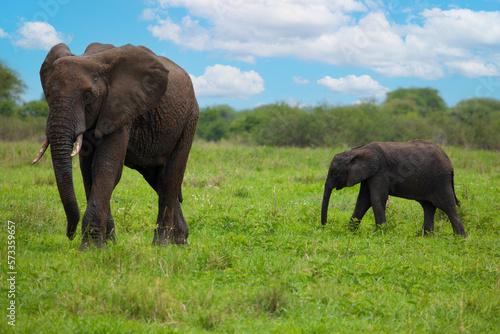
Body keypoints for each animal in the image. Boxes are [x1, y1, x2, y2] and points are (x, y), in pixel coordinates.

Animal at [30, 42, 199, 248]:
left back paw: (162, 245)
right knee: (156, 178)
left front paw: (91, 248)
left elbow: (105, 167)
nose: (69, 235)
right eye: (47, 93)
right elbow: (88, 170)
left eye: (89, 96)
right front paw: (108, 243)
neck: (93, 59)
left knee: (169, 177)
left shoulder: (121, 107)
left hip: (189, 120)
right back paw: (180, 241)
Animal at [322, 139, 466, 237]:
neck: (356, 151)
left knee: (447, 206)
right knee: (428, 207)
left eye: (335, 173)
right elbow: (363, 201)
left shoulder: (380, 172)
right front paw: (350, 233)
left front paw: (381, 234)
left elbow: (376, 199)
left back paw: (460, 238)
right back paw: (426, 236)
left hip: (440, 180)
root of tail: (450, 164)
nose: (324, 228)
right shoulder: (369, 174)